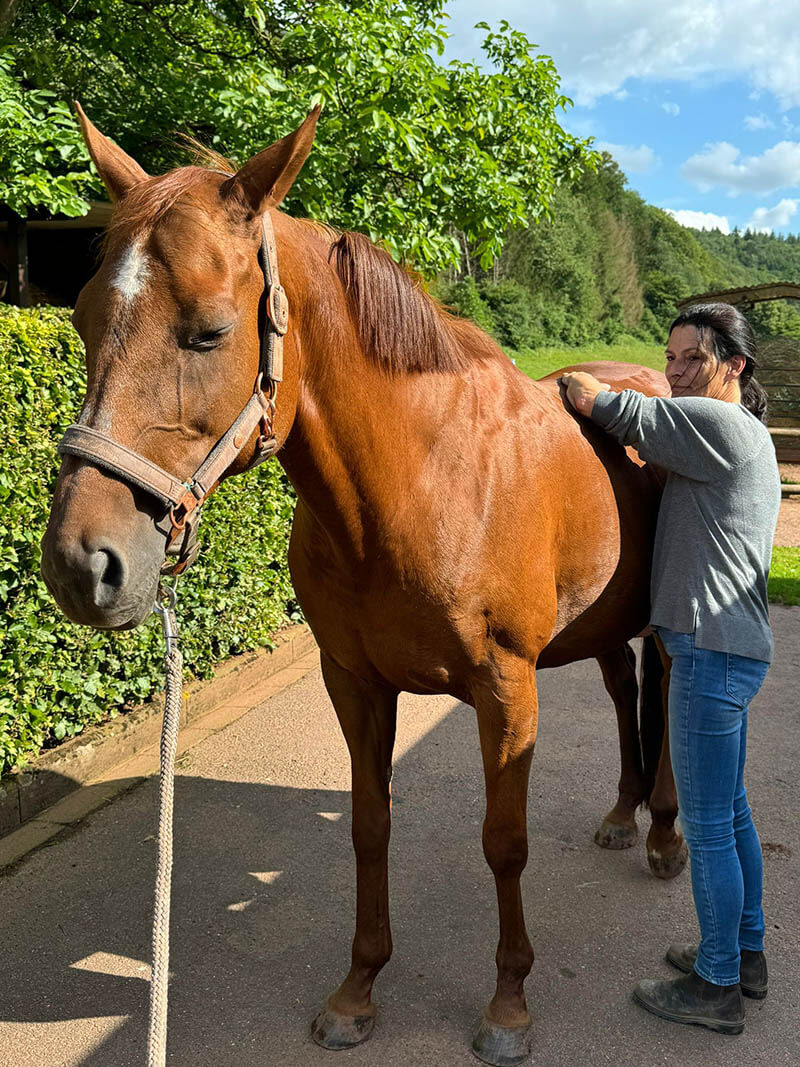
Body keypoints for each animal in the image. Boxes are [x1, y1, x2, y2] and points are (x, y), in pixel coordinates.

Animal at [41, 107, 686, 1066]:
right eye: (84, 321)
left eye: (209, 330)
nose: (83, 564)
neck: (420, 479)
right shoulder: (354, 680)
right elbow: (369, 825)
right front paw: (358, 989)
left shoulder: (507, 688)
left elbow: (504, 842)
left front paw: (508, 1005)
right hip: (602, 627)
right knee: (619, 692)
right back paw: (620, 812)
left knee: (674, 705)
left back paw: (668, 835)